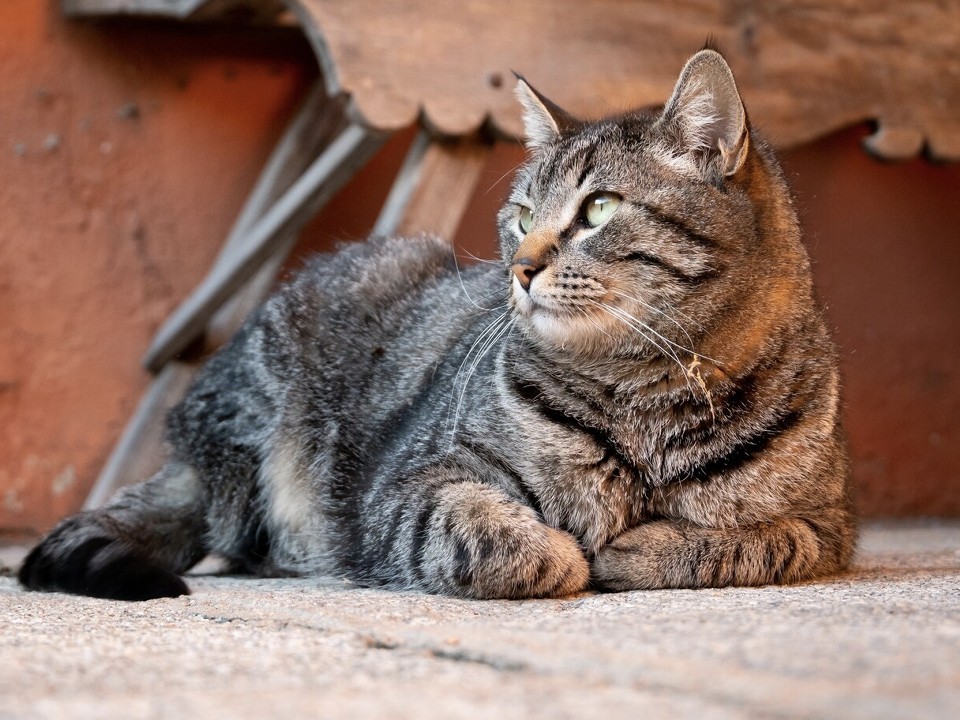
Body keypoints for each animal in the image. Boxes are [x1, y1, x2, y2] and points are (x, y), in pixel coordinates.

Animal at [15, 50, 856, 600]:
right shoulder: (414, 480)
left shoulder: (827, 525)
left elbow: (748, 544)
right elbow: (495, 536)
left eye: (598, 210)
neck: (645, 399)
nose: (522, 267)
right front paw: (564, 553)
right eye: (521, 214)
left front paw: (637, 547)